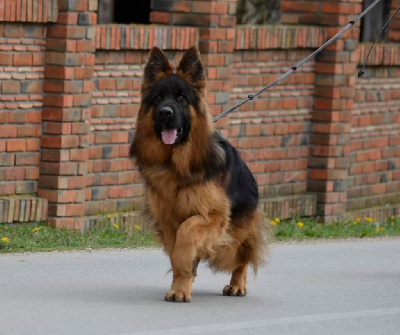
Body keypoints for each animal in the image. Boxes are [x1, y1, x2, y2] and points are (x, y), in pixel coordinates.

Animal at [130, 46, 268, 304]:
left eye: (181, 98)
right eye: (159, 98)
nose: (165, 113)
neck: (175, 164)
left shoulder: (214, 215)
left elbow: (187, 234)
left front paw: (184, 275)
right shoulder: (167, 220)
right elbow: (177, 252)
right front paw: (181, 286)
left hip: (238, 230)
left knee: (241, 257)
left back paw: (237, 285)